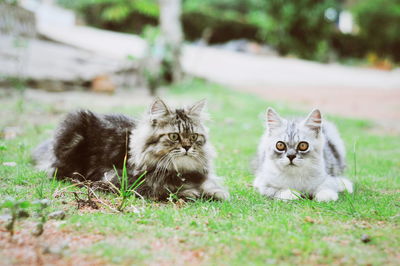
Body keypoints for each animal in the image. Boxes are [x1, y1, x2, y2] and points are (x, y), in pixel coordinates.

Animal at [32, 98, 228, 201]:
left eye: (193, 137)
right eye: (174, 136)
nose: (187, 147)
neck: (179, 170)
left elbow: (214, 187)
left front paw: (216, 192)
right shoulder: (120, 179)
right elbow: (166, 190)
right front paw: (189, 192)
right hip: (73, 125)